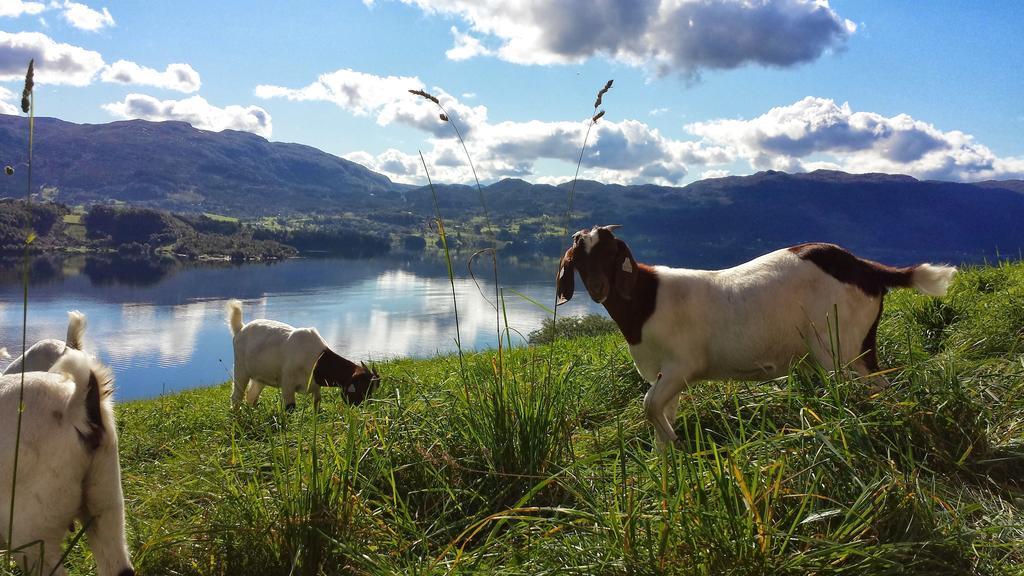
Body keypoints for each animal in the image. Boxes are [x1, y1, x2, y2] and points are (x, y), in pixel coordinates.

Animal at [226, 297, 382, 409]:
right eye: (363, 390)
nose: (364, 409)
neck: (318, 360)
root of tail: (241, 329)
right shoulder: (287, 384)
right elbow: (290, 408)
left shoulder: (315, 387)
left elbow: (317, 404)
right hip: (240, 369)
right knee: (236, 396)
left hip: (260, 376)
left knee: (251, 397)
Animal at [557, 224, 954, 444]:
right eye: (578, 254)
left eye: (612, 252)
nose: (598, 288)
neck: (645, 300)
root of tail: (867, 269)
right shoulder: (662, 374)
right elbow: (660, 415)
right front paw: (668, 468)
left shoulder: (682, 366)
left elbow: (649, 406)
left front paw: (678, 444)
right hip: (858, 347)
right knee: (881, 387)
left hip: (839, 345)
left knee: (863, 390)